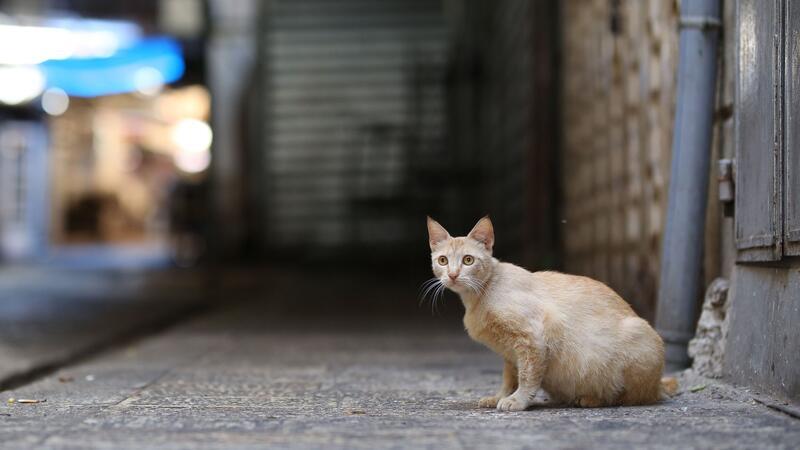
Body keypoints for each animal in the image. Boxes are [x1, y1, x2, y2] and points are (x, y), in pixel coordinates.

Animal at [428, 216, 672, 410]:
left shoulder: (533, 337)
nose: (453, 275)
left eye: (468, 260)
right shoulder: (510, 353)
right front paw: (499, 396)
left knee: (632, 397)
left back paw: (592, 399)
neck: (479, 296)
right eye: (443, 260)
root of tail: (658, 383)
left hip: (638, 336)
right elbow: (509, 378)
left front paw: (518, 401)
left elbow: (527, 376)